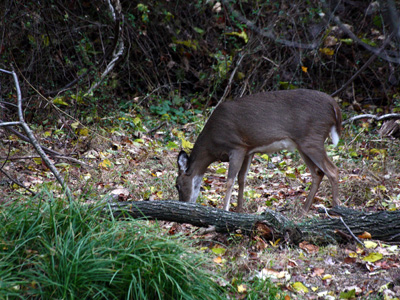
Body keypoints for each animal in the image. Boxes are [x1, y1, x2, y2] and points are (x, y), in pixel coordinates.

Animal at [175, 89, 340, 213]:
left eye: (177, 185)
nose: (183, 203)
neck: (211, 145)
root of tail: (334, 106)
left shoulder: (237, 146)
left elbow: (230, 181)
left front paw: (225, 210)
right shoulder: (249, 150)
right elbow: (242, 179)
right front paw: (239, 210)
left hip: (312, 139)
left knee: (333, 170)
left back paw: (336, 210)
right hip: (303, 144)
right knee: (318, 173)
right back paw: (303, 211)